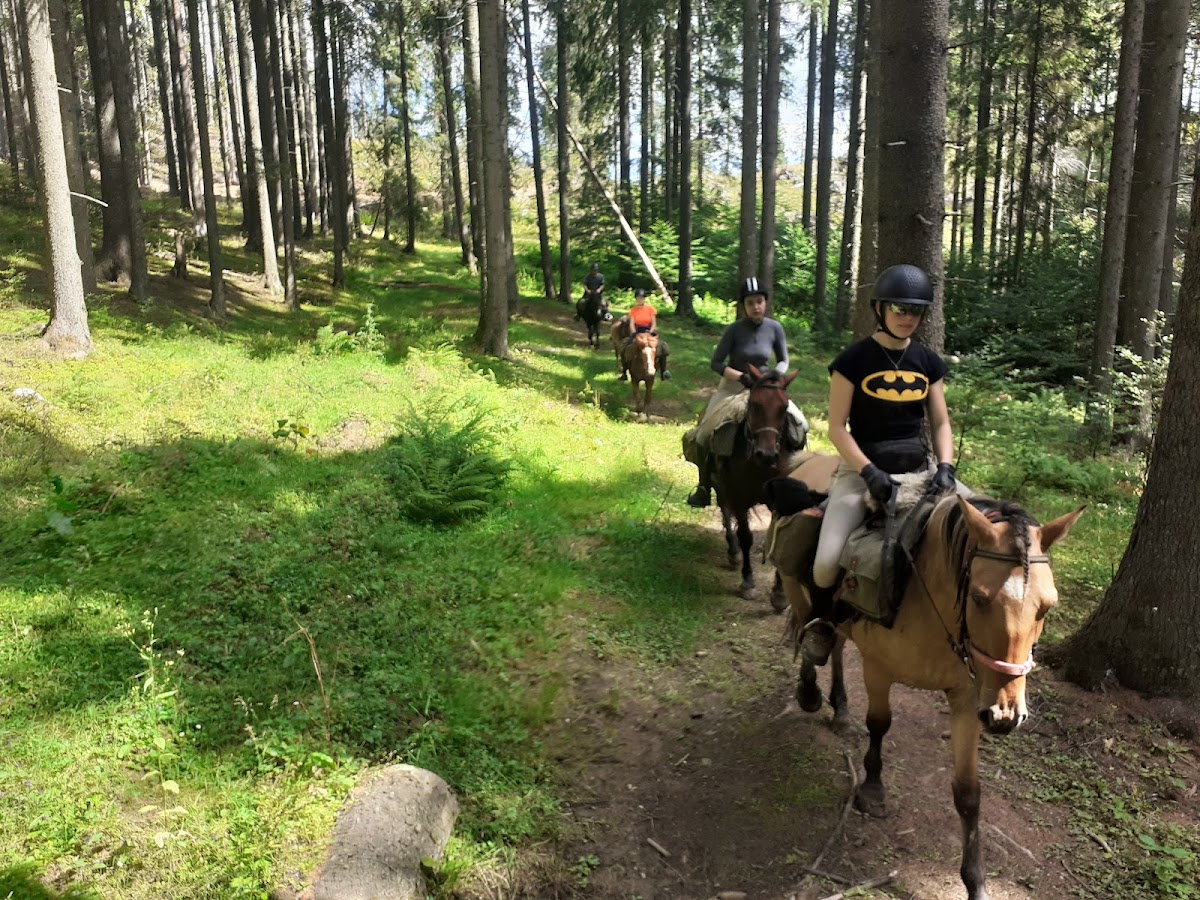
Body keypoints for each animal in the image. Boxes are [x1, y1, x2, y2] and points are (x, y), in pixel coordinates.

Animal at [710, 365, 801, 601]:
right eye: (754, 405)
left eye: (784, 407)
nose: (766, 455)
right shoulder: (740, 498)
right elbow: (745, 536)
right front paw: (748, 581)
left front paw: (779, 593)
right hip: (721, 487)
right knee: (725, 511)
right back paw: (733, 553)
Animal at [777, 472, 1084, 900]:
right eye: (979, 598)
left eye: (1048, 606)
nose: (1005, 715)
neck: (926, 591)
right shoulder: (878, 669)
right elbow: (880, 724)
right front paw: (872, 790)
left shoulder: (969, 698)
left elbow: (968, 794)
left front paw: (976, 883)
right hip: (800, 586)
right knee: (811, 624)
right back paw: (809, 692)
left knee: (834, 644)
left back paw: (840, 711)